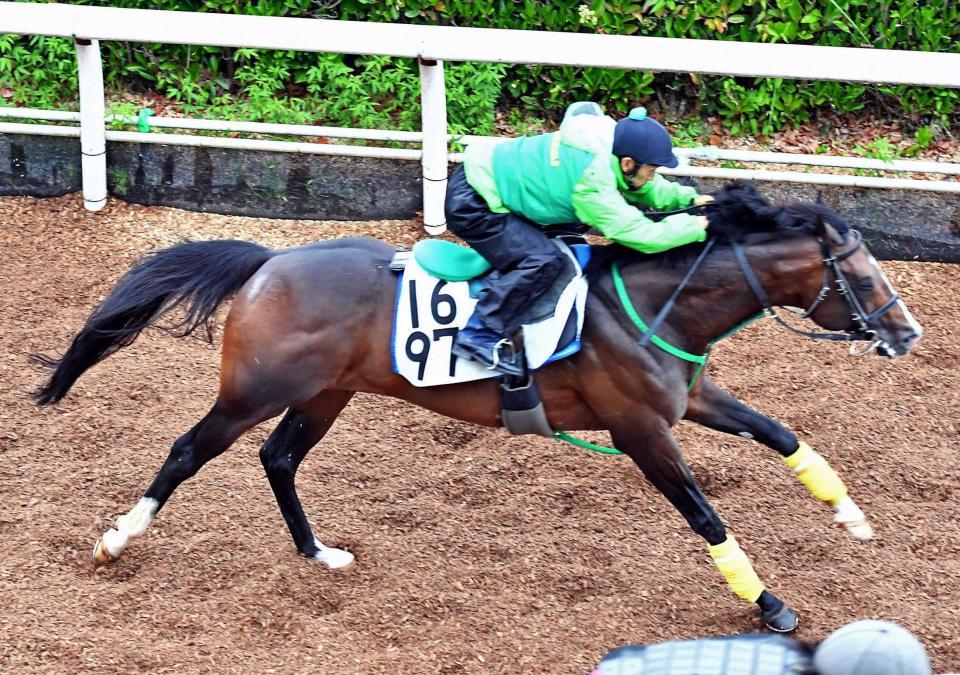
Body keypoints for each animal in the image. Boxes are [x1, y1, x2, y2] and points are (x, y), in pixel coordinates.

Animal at [31, 182, 924, 632]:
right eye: (861, 272)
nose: (907, 331)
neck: (652, 303)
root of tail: (268, 262)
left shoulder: (692, 395)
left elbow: (782, 432)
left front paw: (850, 516)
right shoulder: (638, 428)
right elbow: (704, 514)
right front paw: (768, 602)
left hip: (326, 393)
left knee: (277, 457)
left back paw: (319, 554)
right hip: (256, 390)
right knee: (188, 450)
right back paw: (117, 538)